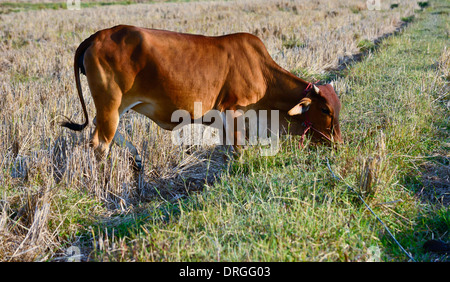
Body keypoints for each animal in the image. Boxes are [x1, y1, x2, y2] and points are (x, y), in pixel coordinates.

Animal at [61, 24, 342, 167]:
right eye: (325, 110)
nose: (339, 143)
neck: (263, 74)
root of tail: (96, 36)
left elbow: (229, 147)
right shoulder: (233, 110)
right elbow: (238, 149)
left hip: (113, 107)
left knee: (99, 132)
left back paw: (137, 158)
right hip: (111, 104)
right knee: (100, 144)